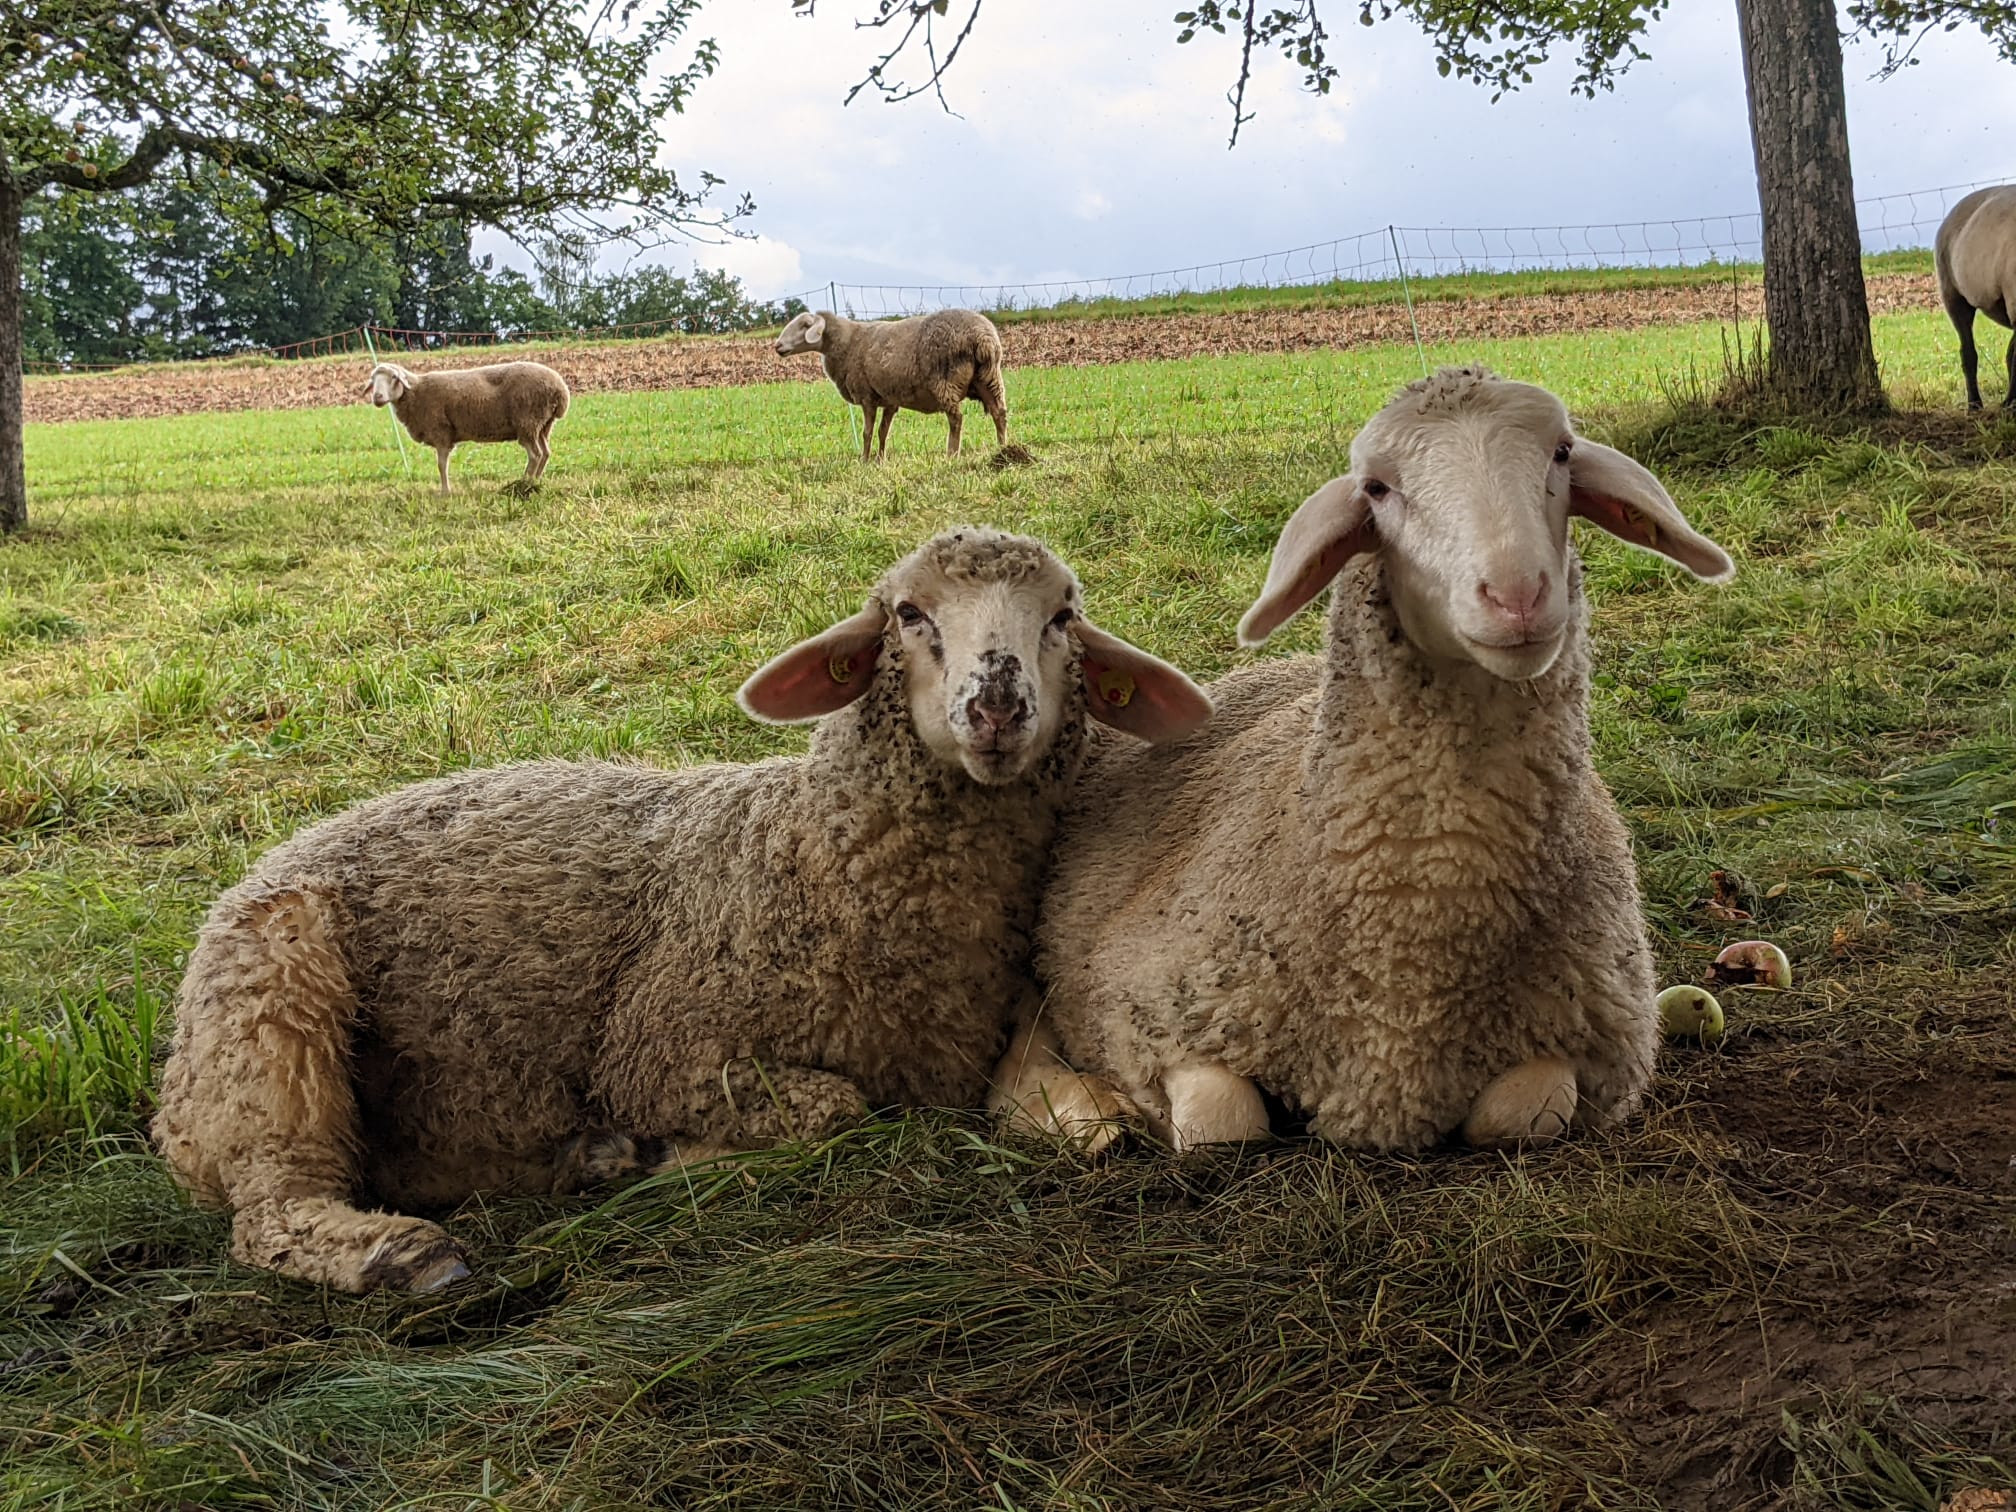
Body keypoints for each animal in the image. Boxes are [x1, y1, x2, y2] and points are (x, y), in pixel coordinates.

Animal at [153, 528, 1209, 1298]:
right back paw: (403, 1254)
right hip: (270, 1011)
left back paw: (576, 1159)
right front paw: (675, 1154)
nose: (996, 706)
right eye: (908, 614)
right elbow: (838, 1106)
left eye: (1062, 617)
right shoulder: (664, 1051)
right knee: (271, 1207)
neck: (804, 847)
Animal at [358, 360, 568, 491]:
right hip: (543, 425)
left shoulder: (441, 432)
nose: (377, 397)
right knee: (545, 453)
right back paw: (536, 482)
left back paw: (524, 484)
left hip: (527, 421)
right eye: (373, 380)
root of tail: (561, 389)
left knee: (535, 455)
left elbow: (441, 465)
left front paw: (445, 492)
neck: (416, 392)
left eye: (394, 378)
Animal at [778, 310, 1016, 465]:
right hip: (989, 378)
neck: (848, 343)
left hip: (945, 382)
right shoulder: (890, 400)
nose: (777, 345)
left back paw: (951, 455)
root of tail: (983, 338)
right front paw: (880, 459)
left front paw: (864, 460)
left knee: (956, 419)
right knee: (999, 413)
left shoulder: (867, 397)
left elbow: (867, 432)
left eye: (805, 325)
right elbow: (883, 431)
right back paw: (1003, 448)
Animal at [991, 366, 1733, 1161]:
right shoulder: (1146, 1005)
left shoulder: (1592, 1043)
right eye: (1377, 487)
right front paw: (1140, 1113)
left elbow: (1522, 1115)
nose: (1517, 596)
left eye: (1562, 452)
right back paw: (1080, 1111)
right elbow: (1223, 1124)